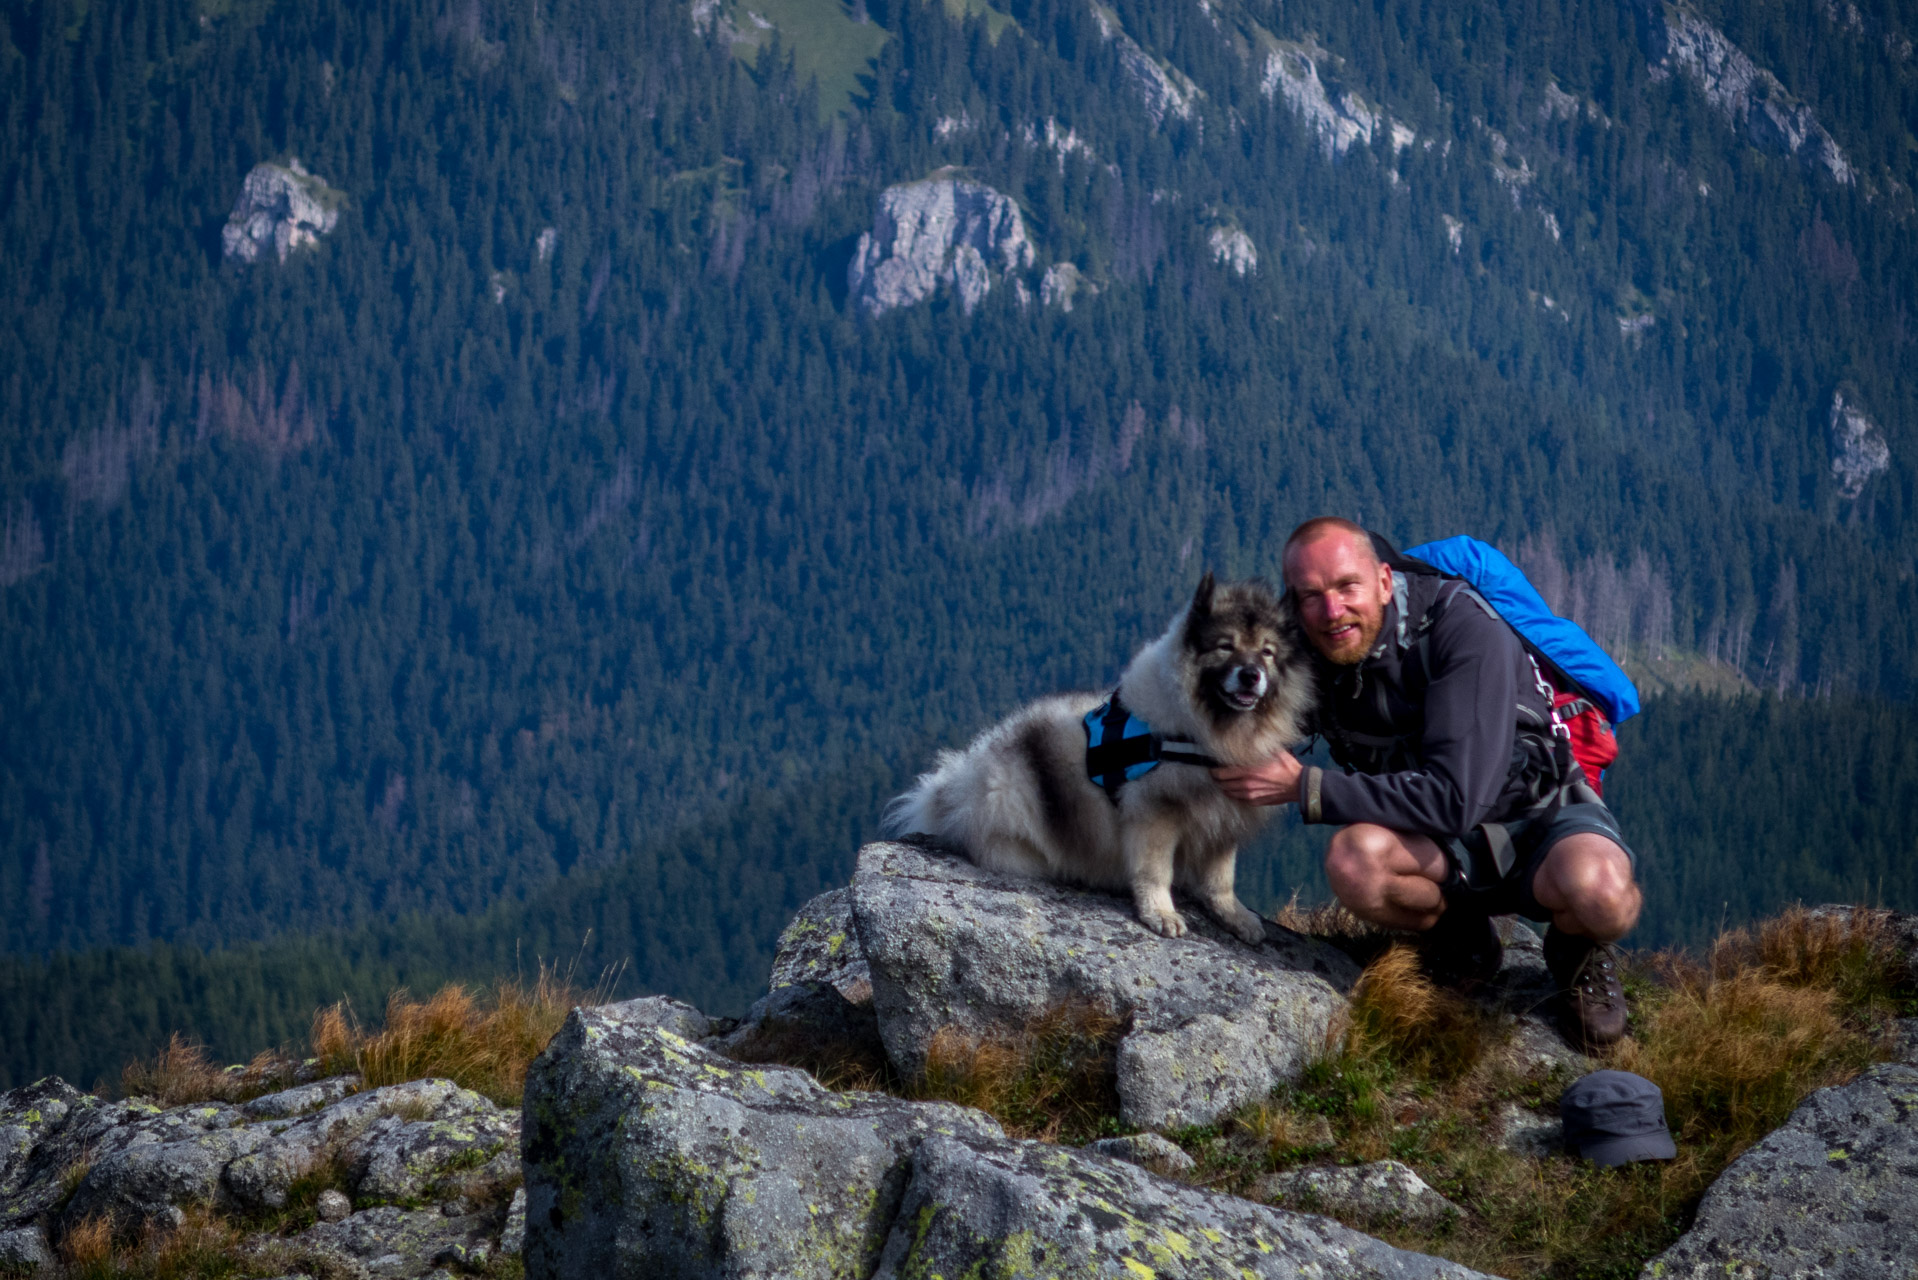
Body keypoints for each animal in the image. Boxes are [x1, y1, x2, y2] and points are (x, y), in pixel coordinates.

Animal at [886, 575, 1319, 948]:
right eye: (1225, 646)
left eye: (1267, 652)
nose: (1251, 675)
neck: (1205, 729)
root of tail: (956, 787)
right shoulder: (1155, 811)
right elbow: (1155, 871)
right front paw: (1161, 913)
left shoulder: (1223, 816)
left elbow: (1221, 880)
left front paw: (1234, 916)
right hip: (1013, 801)